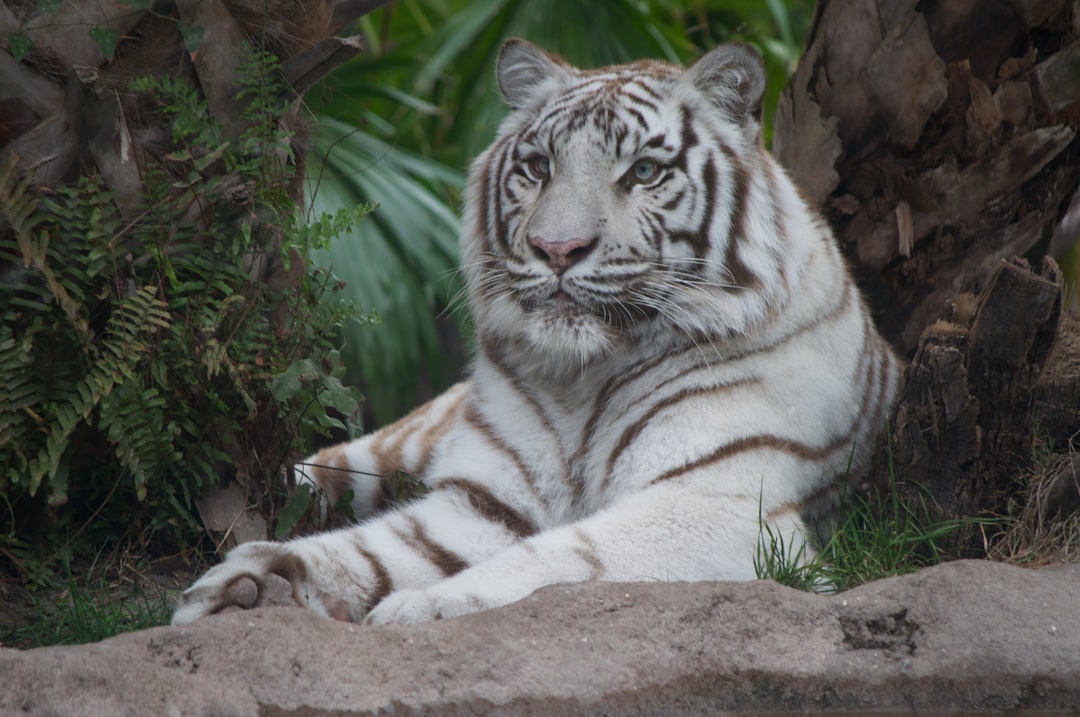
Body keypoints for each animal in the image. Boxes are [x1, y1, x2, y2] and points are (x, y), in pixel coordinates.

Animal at [172, 38, 898, 626]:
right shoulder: (486, 501)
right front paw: (255, 583)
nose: (557, 249)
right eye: (539, 167)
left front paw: (420, 607)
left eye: (643, 171)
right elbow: (376, 547)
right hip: (393, 446)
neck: (585, 379)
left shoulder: (721, 507)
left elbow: (564, 555)